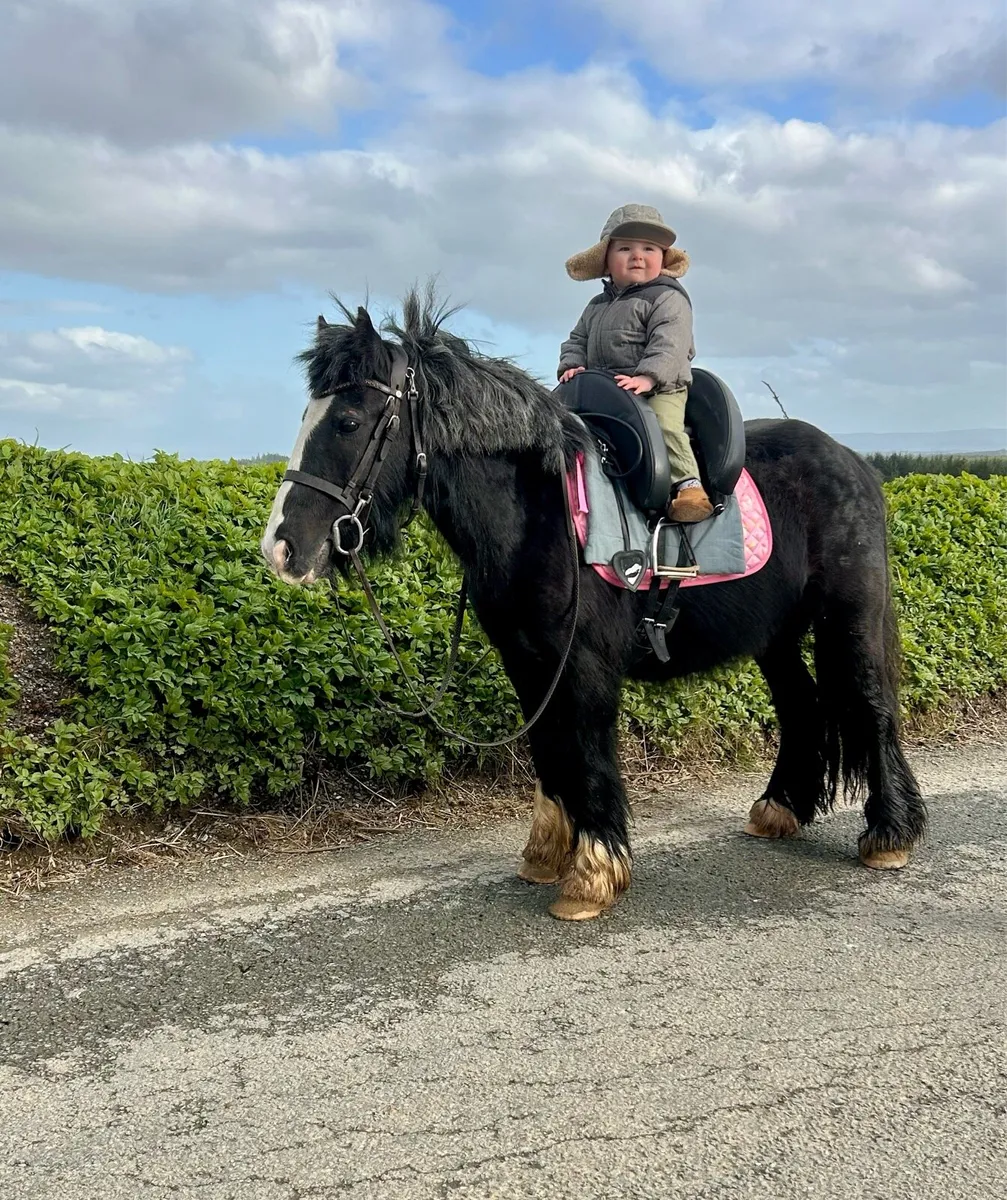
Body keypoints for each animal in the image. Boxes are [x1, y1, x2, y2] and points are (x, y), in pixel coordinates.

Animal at [261, 290, 926, 921]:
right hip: (776, 637)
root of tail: (851, 462)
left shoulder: (582, 666)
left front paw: (593, 873)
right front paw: (546, 854)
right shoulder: (529, 663)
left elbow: (586, 747)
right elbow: (549, 749)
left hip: (849, 619)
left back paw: (889, 833)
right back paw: (779, 808)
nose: (282, 548)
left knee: (872, 705)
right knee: (800, 708)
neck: (540, 515)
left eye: (348, 420)